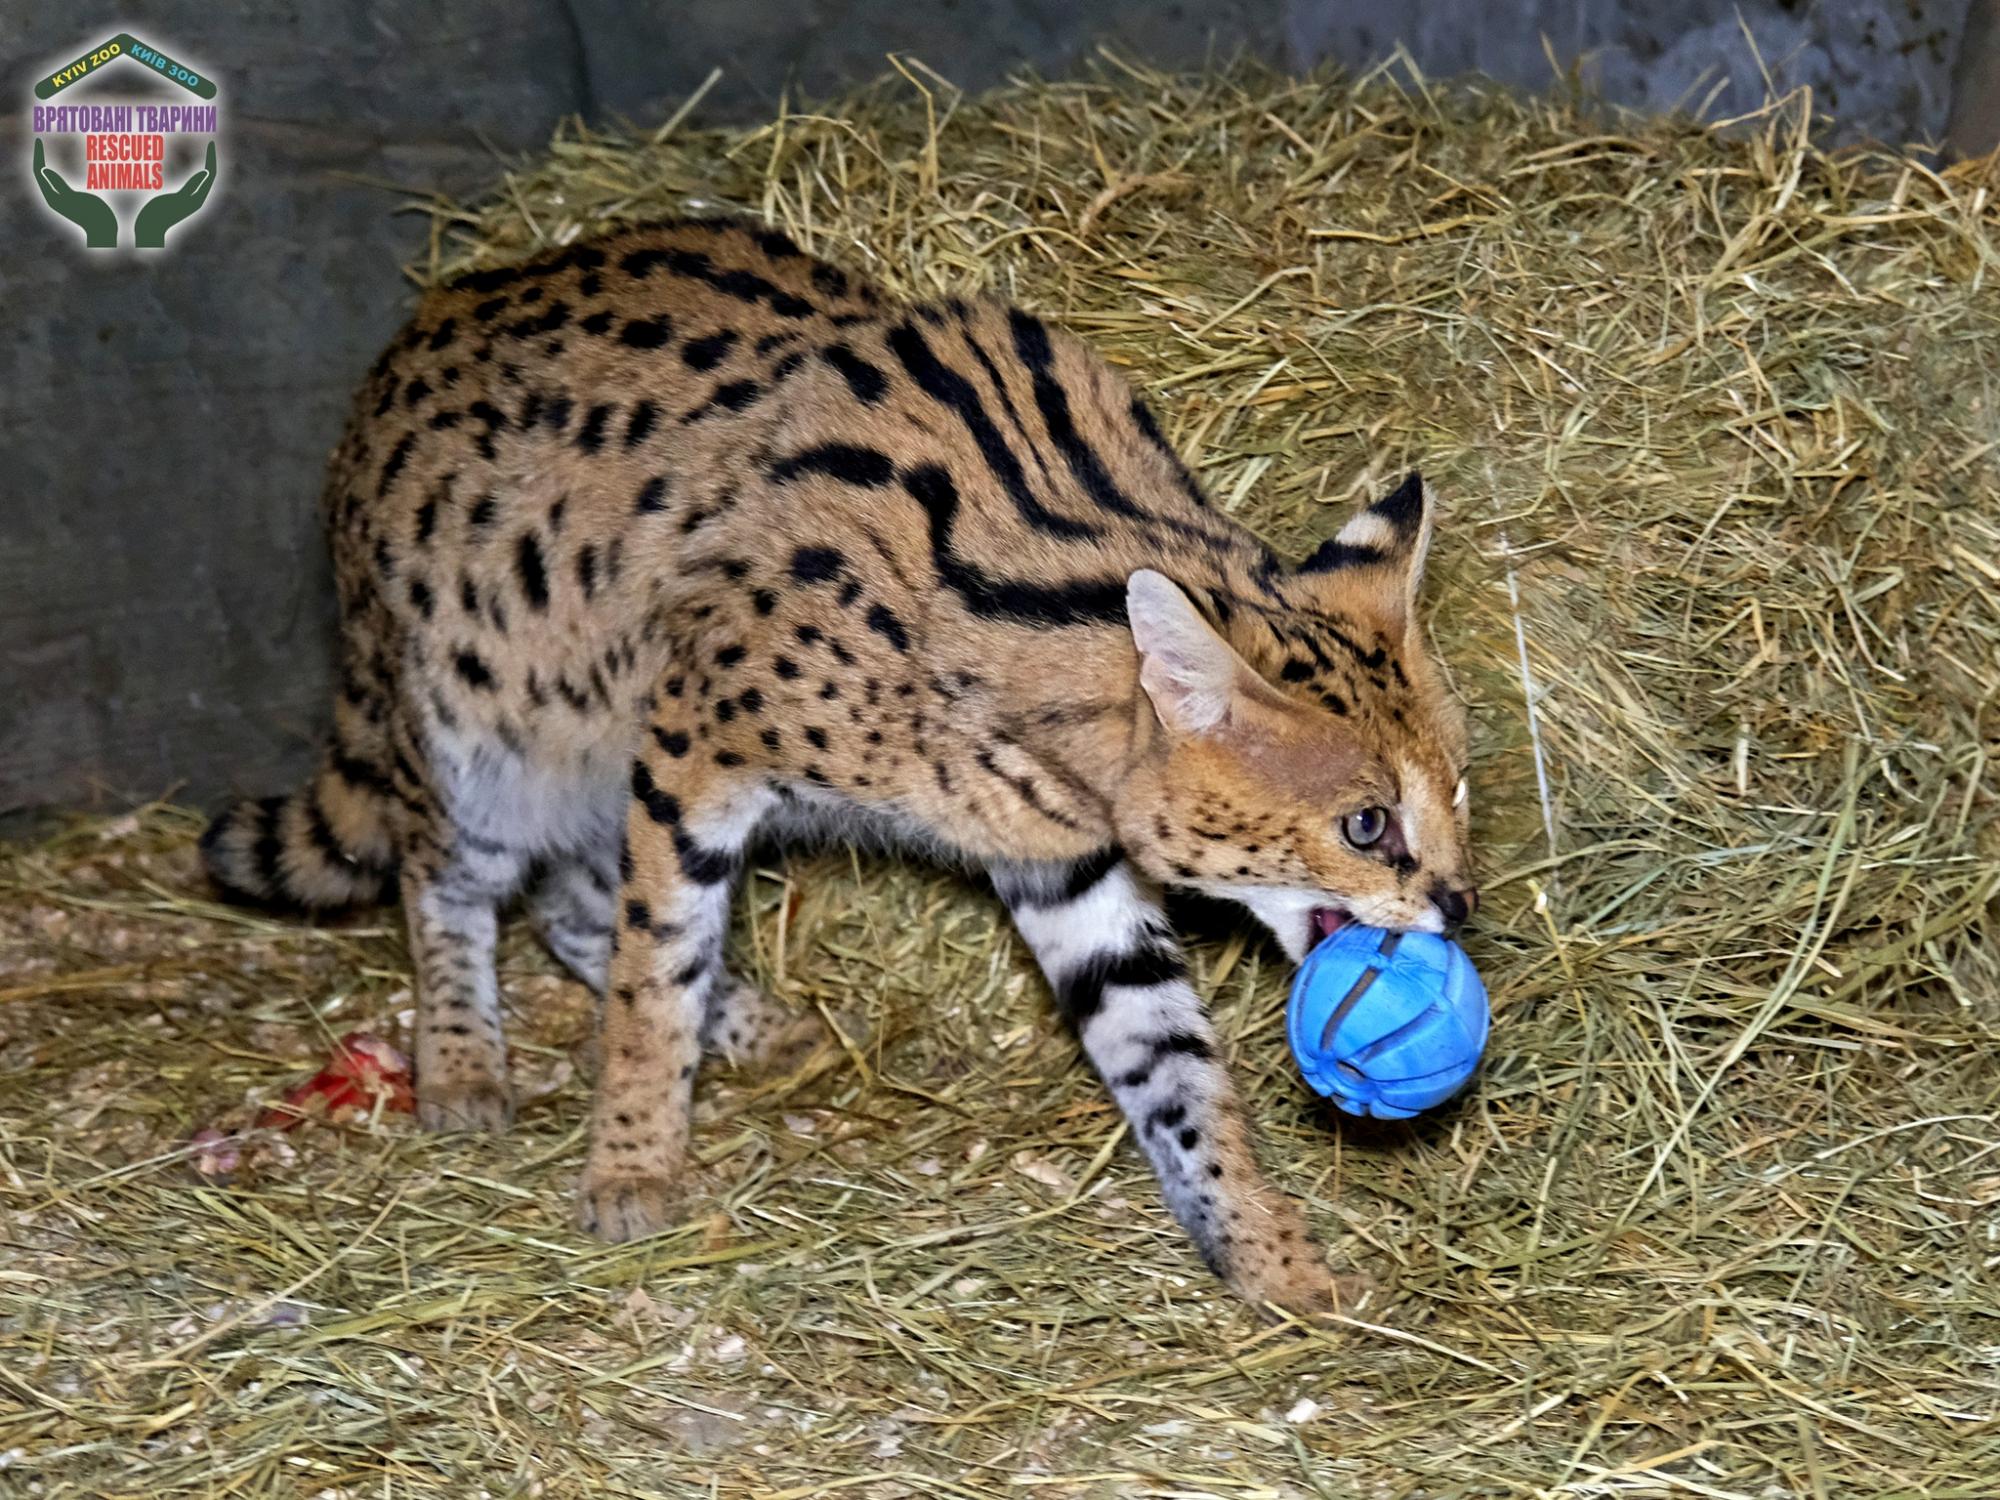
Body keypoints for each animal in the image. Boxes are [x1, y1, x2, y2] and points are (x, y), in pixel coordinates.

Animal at [199, 220, 1472, 1312]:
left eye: (1456, 788)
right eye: (1364, 825)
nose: (1457, 904)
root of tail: (415, 328)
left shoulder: (1060, 861)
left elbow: (1169, 1059)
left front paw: (1265, 1252)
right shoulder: (692, 746)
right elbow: (656, 965)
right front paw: (632, 1164)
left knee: (567, 900)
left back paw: (753, 1025)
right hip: (481, 728)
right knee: (449, 876)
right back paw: (462, 1060)